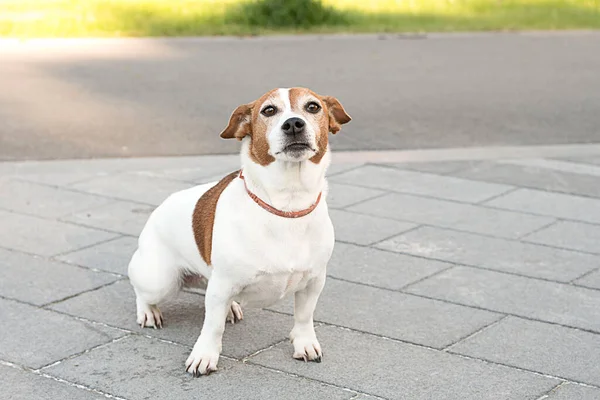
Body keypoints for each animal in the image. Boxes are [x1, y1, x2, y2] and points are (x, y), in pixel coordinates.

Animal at [128, 86, 350, 376]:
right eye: (269, 110)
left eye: (313, 107)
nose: (293, 124)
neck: (287, 205)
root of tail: (157, 210)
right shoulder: (221, 286)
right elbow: (212, 327)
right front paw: (204, 355)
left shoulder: (314, 282)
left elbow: (304, 316)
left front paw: (304, 343)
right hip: (160, 281)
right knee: (140, 288)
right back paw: (148, 311)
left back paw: (231, 308)